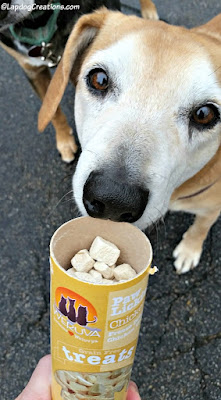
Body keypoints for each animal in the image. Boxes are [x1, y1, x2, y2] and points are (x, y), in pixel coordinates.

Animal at [38, 2, 220, 272]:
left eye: (204, 114)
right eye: (99, 79)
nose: (114, 199)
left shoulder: (212, 207)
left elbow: (201, 226)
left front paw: (189, 250)